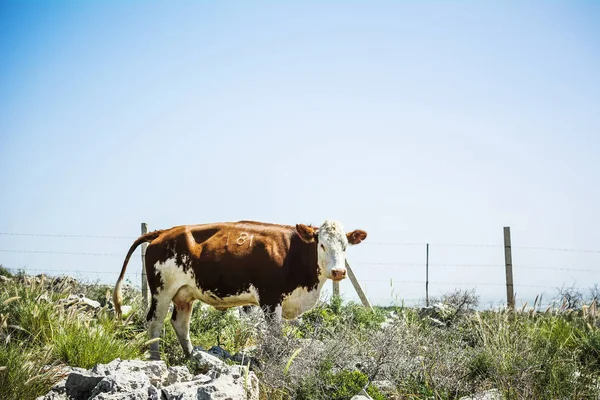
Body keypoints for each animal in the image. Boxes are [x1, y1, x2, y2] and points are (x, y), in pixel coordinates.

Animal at [112, 220, 366, 360]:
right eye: (321, 244)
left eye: (345, 246)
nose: (339, 272)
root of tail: (164, 232)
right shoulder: (270, 298)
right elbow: (275, 334)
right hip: (162, 291)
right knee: (155, 322)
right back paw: (156, 360)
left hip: (184, 294)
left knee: (180, 323)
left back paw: (191, 357)